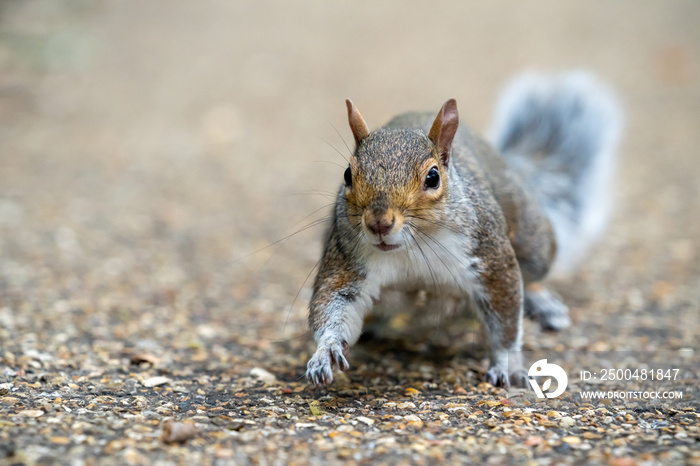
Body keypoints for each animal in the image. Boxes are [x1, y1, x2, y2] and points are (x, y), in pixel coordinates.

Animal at [304, 72, 620, 386]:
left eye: (433, 177)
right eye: (348, 174)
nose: (378, 223)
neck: (415, 245)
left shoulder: (490, 257)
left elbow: (506, 318)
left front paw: (506, 366)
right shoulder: (348, 260)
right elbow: (333, 303)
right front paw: (325, 352)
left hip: (534, 244)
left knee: (529, 275)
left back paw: (543, 303)